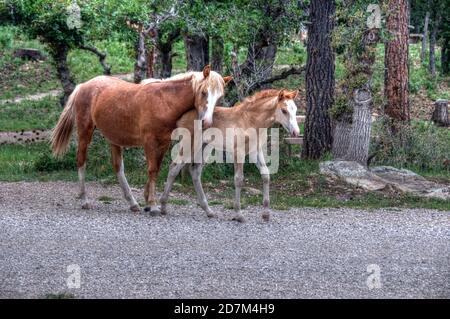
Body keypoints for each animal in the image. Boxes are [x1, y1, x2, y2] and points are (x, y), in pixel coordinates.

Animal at [51, 66, 232, 214]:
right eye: (203, 92)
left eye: (219, 97)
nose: (206, 122)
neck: (164, 102)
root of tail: (83, 85)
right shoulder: (149, 142)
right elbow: (152, 170)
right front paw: (152, 204)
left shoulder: (163, 143)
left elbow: (156, 169)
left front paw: (148, 202)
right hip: (85, 132)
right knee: (81, 160)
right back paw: (84, 200)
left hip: (114, 138)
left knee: (118, 167)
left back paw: (132, 203)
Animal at [161, 87, 298, 222]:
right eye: (284, 110)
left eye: (295, 109)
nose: (296, 132)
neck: (250, 120)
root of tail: (182, 116)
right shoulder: (239, 152)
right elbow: (238, 179)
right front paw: (238, 214)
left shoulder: (256, 151)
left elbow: (265, 175)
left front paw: (266, 214)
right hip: (189, 145)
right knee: (174, 167)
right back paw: (163, 206)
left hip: (205, 148)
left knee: (195, 171)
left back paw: (208, 211)